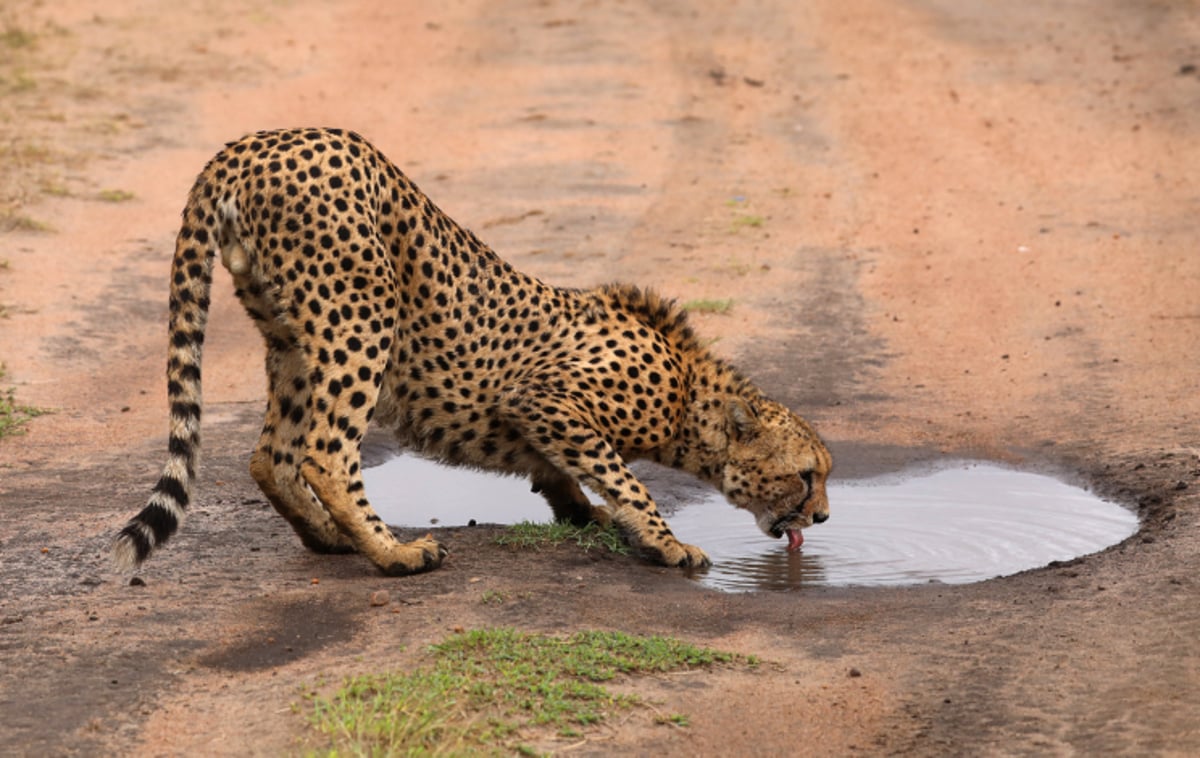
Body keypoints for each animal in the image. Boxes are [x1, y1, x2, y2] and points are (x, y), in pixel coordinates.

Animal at [112, 127, 830, 573]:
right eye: (806, 474)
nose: (821, 517)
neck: (687, 393)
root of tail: (249, 145)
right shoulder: (546, 396)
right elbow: (623, 474)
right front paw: (666, 542)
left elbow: (567, 474)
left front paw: (587, 513)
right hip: (362, 316)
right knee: (324, 451)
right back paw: (395, 554)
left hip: (289, 333)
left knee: (271, 455)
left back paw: (329, 537)